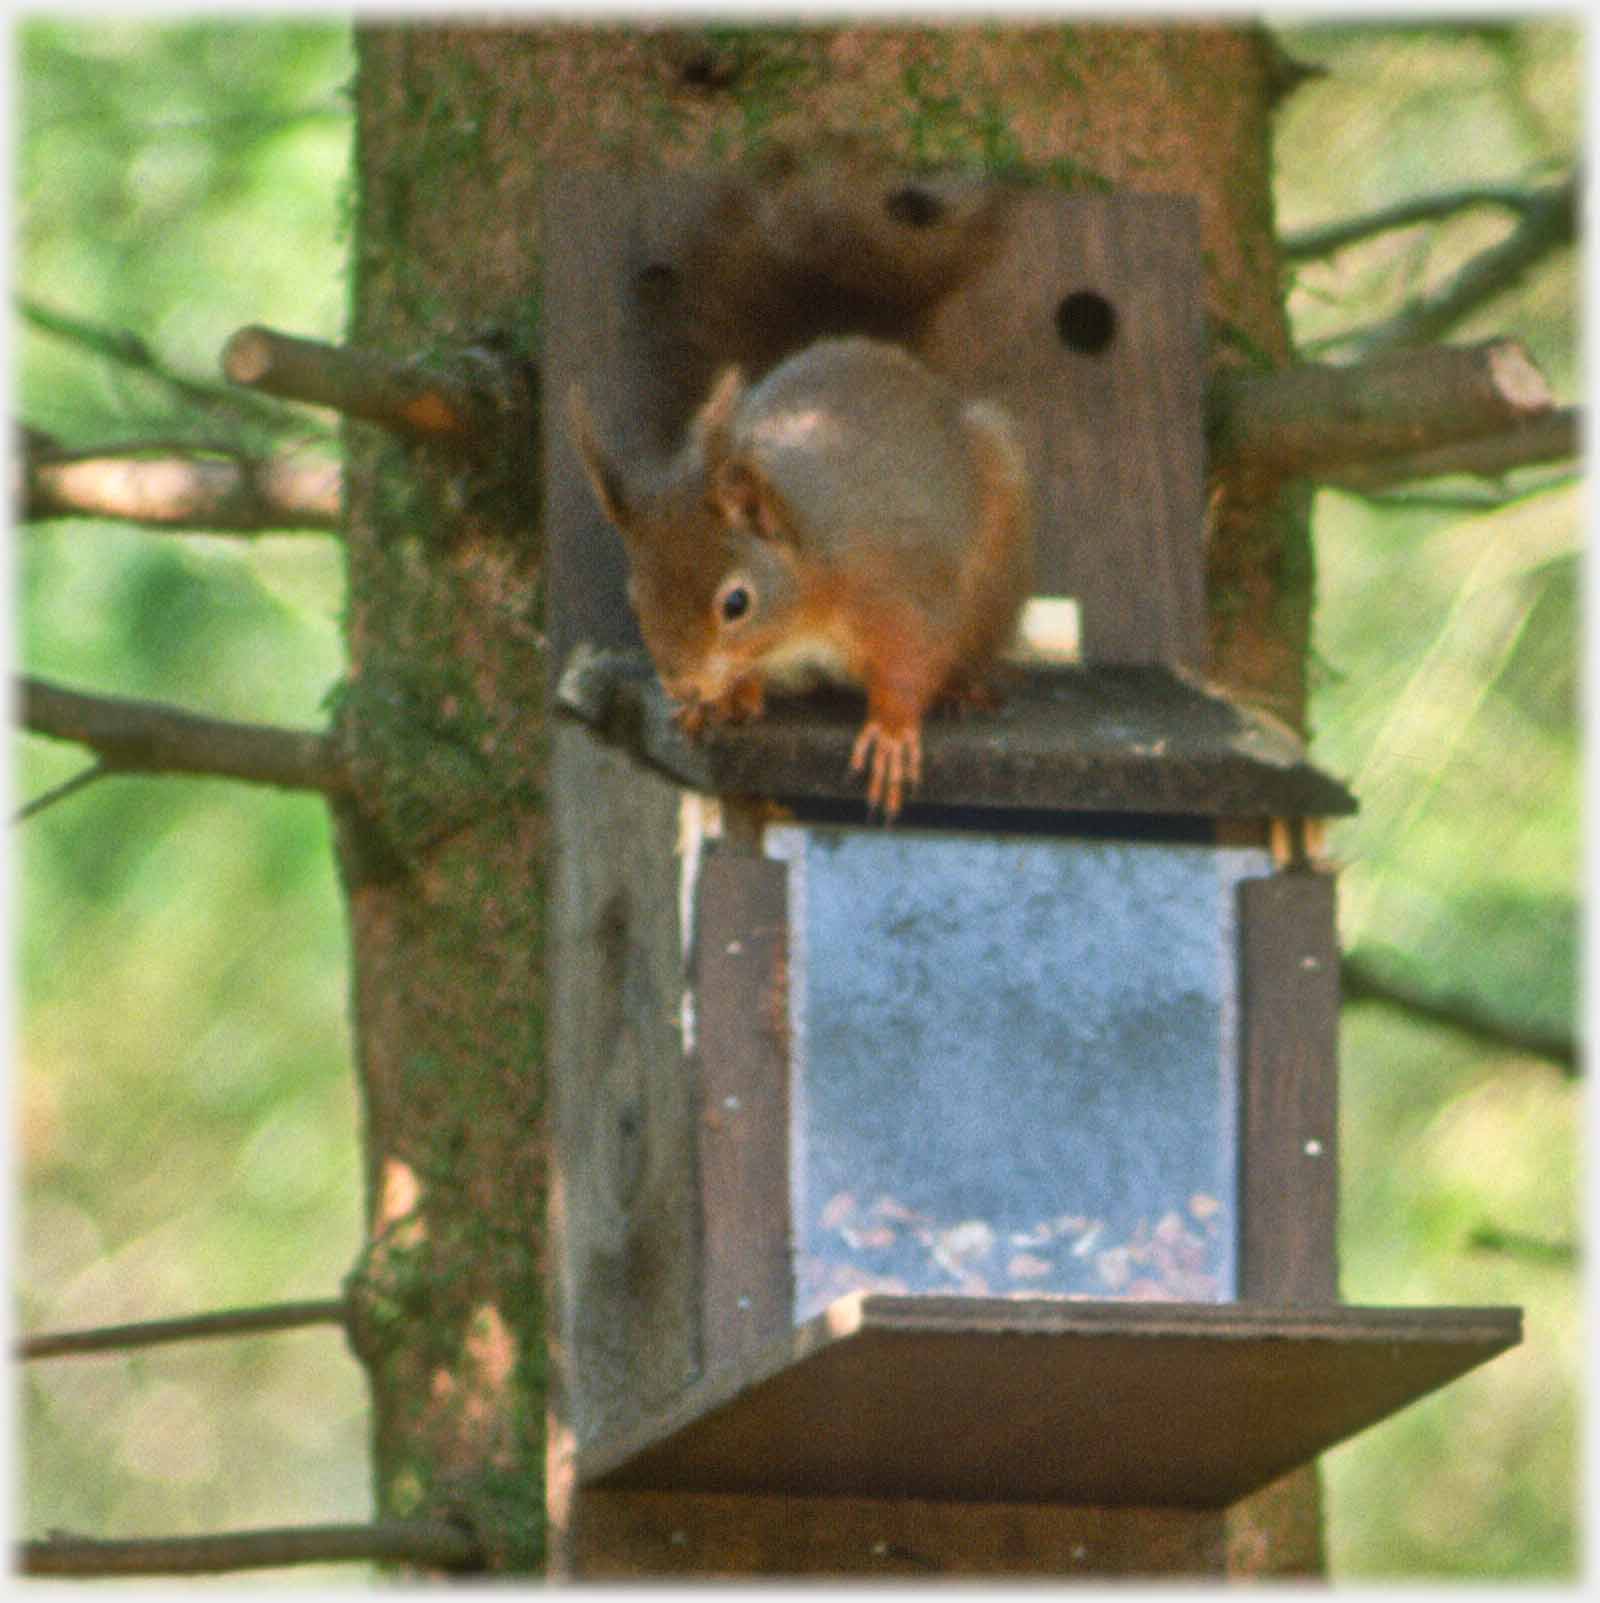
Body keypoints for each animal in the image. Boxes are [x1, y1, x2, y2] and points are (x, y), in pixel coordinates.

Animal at [568, 333, 1033, 819]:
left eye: (737, 603)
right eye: (635, 600)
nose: (682, 687)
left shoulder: (892, 589)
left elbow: (911, 659)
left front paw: (892, 733)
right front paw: (725, 699)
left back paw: (960, 688)